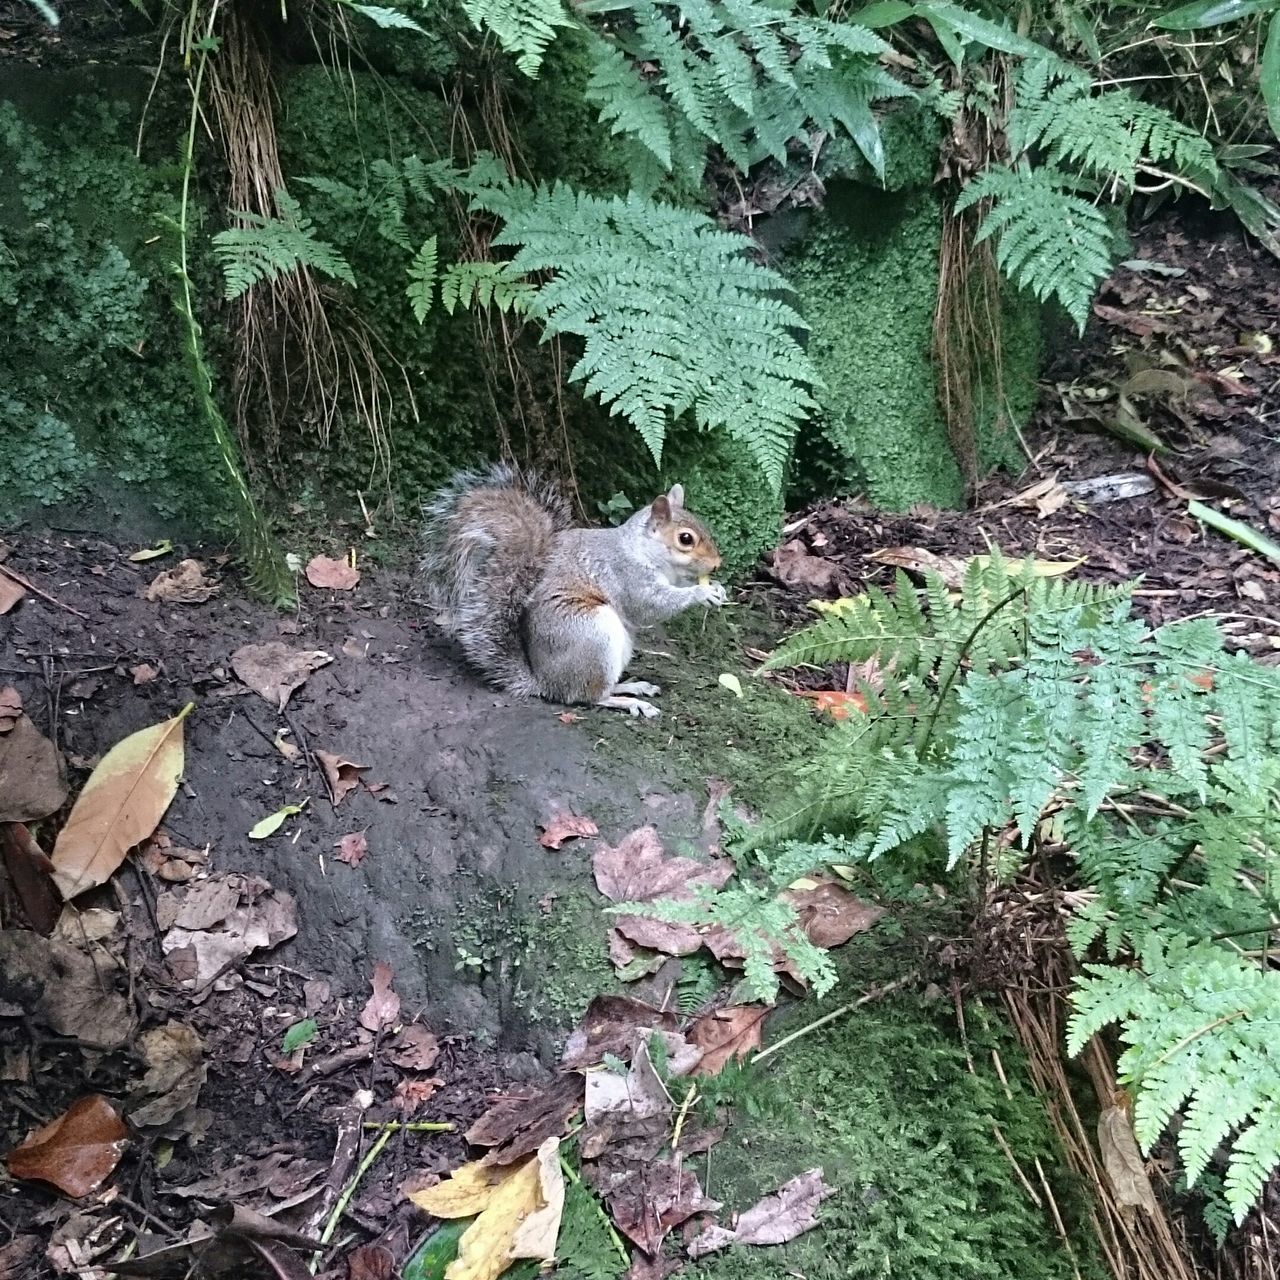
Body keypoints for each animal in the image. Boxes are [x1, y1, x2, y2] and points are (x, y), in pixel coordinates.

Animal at [417, 463, 721, 721]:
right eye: (685, 539)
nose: (717, 564)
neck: (642, 549)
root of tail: (543, 681)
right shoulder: (627, 574)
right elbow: (649, 605)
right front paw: (701, 593)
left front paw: (714, 588)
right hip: (594, 634)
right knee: (586, 696)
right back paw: (630, 702)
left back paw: (633, 686)